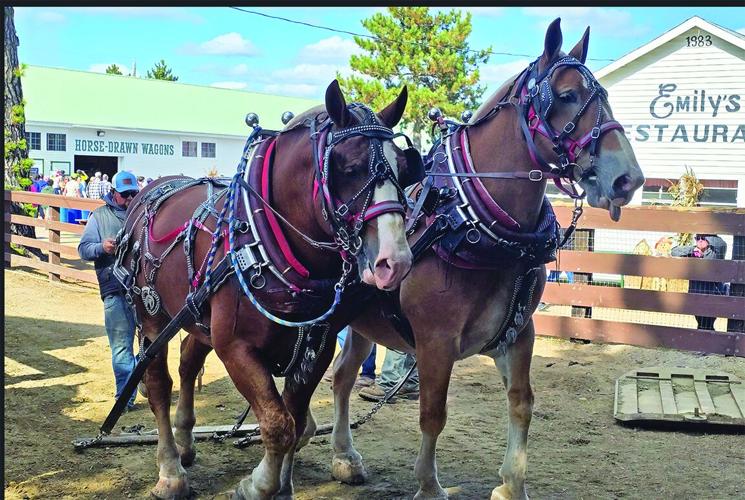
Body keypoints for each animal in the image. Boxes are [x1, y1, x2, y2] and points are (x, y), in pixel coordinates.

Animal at [115, 80, 420, 499]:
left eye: (403, 169)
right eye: (349, 168)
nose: (396, 261)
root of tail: (153, 191)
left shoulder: (316, 348)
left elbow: (294, 420)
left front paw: (281, 485)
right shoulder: (236, 348)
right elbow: (279, 424)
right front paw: (258, 485)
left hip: (196, 316)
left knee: (189, 359)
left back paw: (186, 441)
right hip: (151, 315)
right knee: (159, 384)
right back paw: (171, 469)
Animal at [325, 18, 645, 499]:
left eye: (603, 93)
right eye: (566, 95)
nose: (628, 178)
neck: (472, 221)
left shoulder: (519, 332)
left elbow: (521, 403)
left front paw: (512, 484)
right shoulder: (436, 341)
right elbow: (433, 414)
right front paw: (429, 485)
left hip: (364, 323)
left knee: (343, 376)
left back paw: (345, 456)